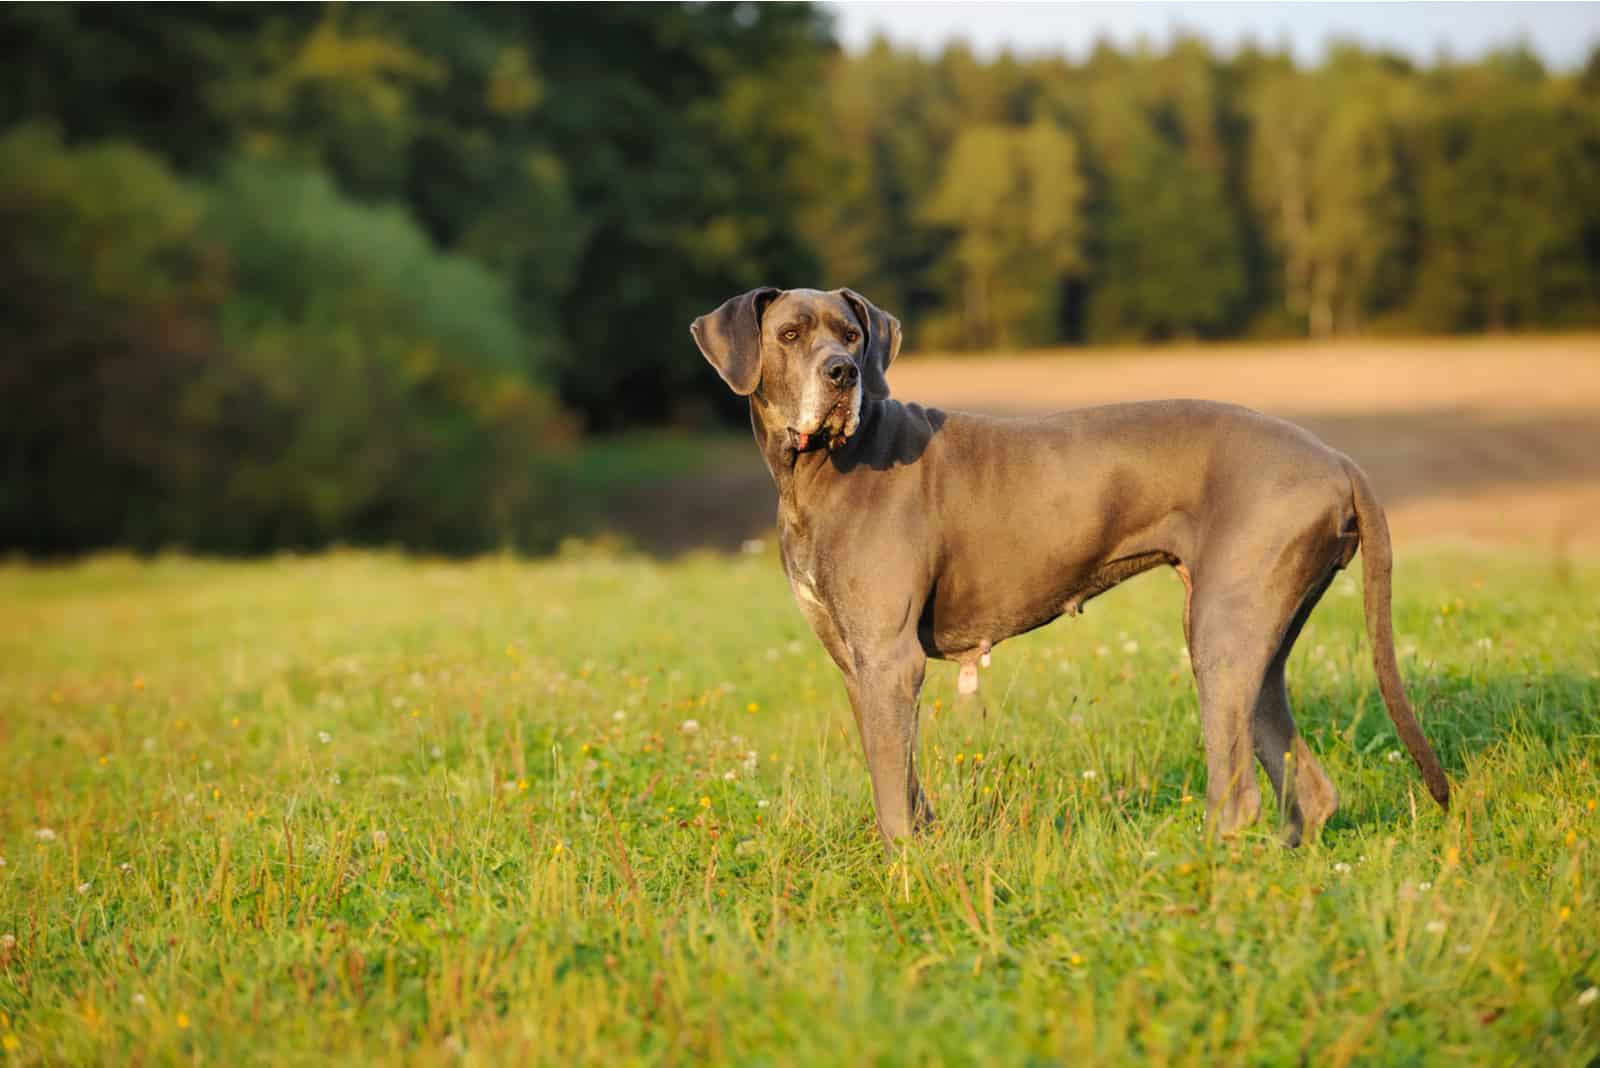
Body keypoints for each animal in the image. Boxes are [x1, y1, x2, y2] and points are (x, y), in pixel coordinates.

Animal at [688, 286, 1452, 850]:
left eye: (850, 335)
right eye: (790, 335)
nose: (842, 373)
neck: (819, 469)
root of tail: (1338, 459)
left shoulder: (888, 658)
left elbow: (891, 795)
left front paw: (902, 873)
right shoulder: (857, 664)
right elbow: (899, 777)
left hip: (1221, 632)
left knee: (1237, 794)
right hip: (1258, 638)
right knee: (1306, 786)